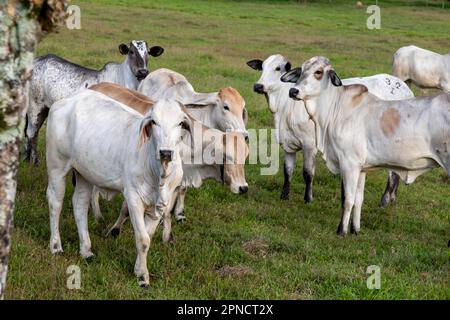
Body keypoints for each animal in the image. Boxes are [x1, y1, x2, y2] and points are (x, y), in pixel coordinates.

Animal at [24, 40, 165, 165]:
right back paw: (35, 162)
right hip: (34, 105)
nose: (143, 72)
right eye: (131, 52)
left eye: (148, 53)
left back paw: (26, 158)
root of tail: (37, 60)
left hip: (44, 108)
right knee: (31, 132)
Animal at [46, 90, 191, 288]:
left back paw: (86, 250)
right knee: (56, 203)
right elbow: (142, 239)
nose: (166, 152)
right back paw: (56, 246)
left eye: (179, 123)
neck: (158, 172)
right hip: (57, 167)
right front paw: (143, 277)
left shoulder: (160, 205)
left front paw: (138, 269)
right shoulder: (133, 198)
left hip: (85, 173)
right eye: (154, 121)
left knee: (80, 205)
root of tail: (66, 100)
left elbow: (148, 235)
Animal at [248, 53, 414, 204]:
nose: (257, 86)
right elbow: (287, 171)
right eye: (262, 67)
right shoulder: (288, 144)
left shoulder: (309, 144)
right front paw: (284, 196)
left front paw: (308, 199)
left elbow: (308, 173)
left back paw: (385, 199)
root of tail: (402, 86)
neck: (284, 108)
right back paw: (391, 198)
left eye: (278, 68)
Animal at [284, 55, 450, 235]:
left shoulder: (349, 164)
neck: (335, 110)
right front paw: (355, 230)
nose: (293, 91)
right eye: (301, 71)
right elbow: (358, 200)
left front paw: (341, 230)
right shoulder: (362, 169)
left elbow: (348, 199)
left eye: (318, 72)